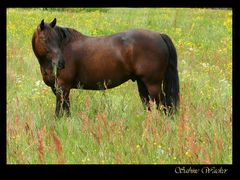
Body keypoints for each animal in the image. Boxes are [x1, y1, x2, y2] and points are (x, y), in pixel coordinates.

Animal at [31, 18, 179, 116]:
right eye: (44, 39)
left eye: (58, 39)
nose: (61, 63)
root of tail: (159, 35)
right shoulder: (58, 88)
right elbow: (65, 109)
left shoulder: (63, 86)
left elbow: (60, 111)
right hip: (142, 83)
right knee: (148, 105)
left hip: (153, 84)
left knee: (163, 106)